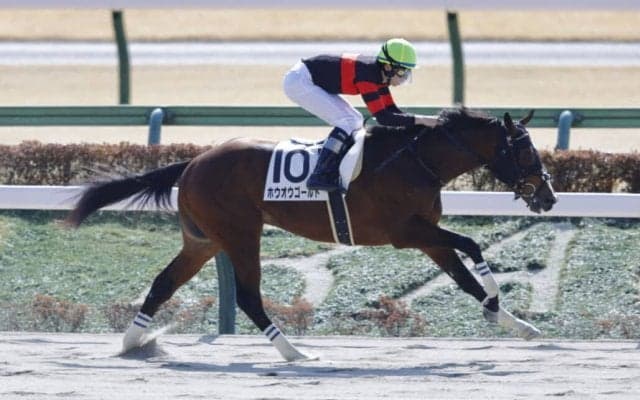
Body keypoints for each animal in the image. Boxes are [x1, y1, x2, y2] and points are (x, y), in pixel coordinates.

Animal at [66, 108, 557, 361]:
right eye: (525, 150)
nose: (548, 196)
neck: (416, 160)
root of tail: (193, 162)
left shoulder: (425, 236)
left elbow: (465, 278)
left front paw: (517, 323)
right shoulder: (407, 231)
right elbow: (472, 247)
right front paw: (496, 302)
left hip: (203, 240)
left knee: (164, 282)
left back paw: (133, 342)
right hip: (240, 233)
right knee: (248, 296)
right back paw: (294, 352)